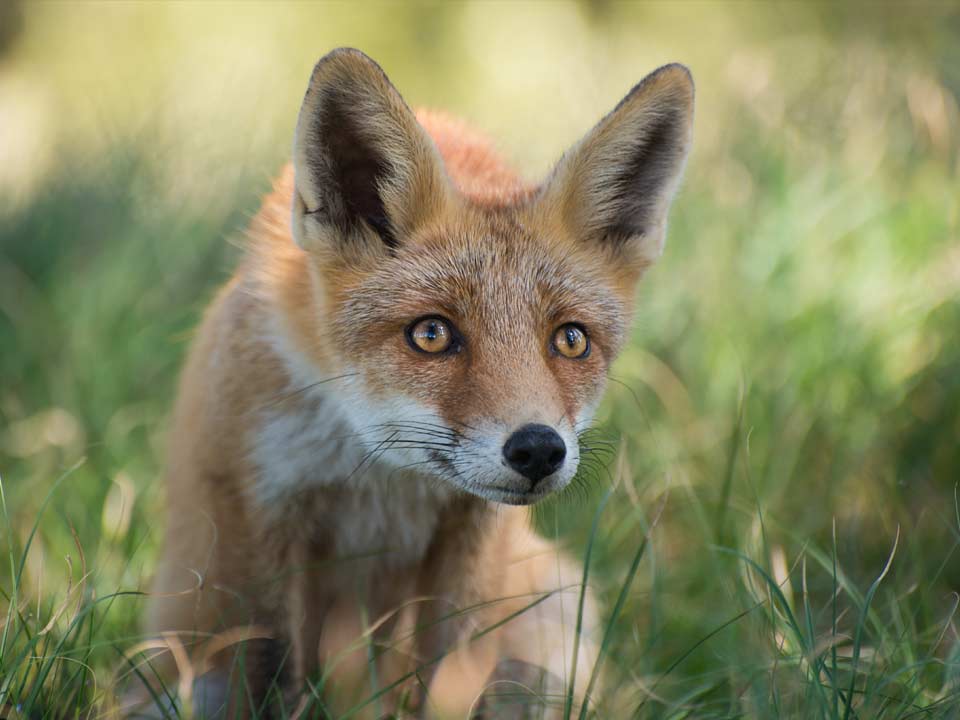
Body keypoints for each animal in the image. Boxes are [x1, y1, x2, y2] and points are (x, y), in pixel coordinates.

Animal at [137, 47, 688, 716]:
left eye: (571, 339)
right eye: (431, 333)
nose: (538, 449)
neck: (382, 473)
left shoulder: (468, 536)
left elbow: (441, 675)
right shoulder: (264, 515)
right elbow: (277, 675)